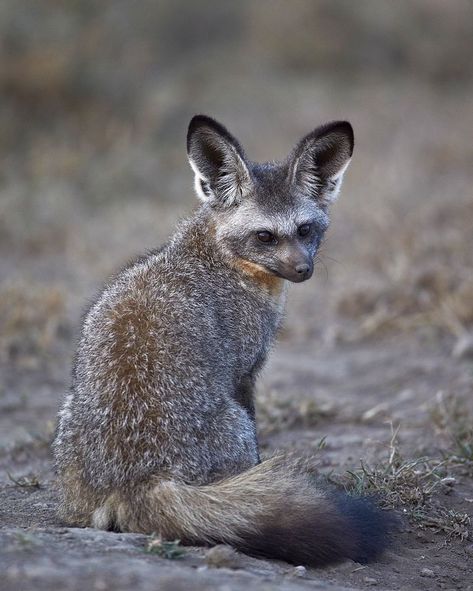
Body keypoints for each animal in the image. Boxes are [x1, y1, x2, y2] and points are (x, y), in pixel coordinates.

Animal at [51, 113, 392, 568]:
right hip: (237, 426)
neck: (213, 257)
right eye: (265, 236)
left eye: (305, 230)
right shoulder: (245, 373)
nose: (303, 270)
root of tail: (138, 478)